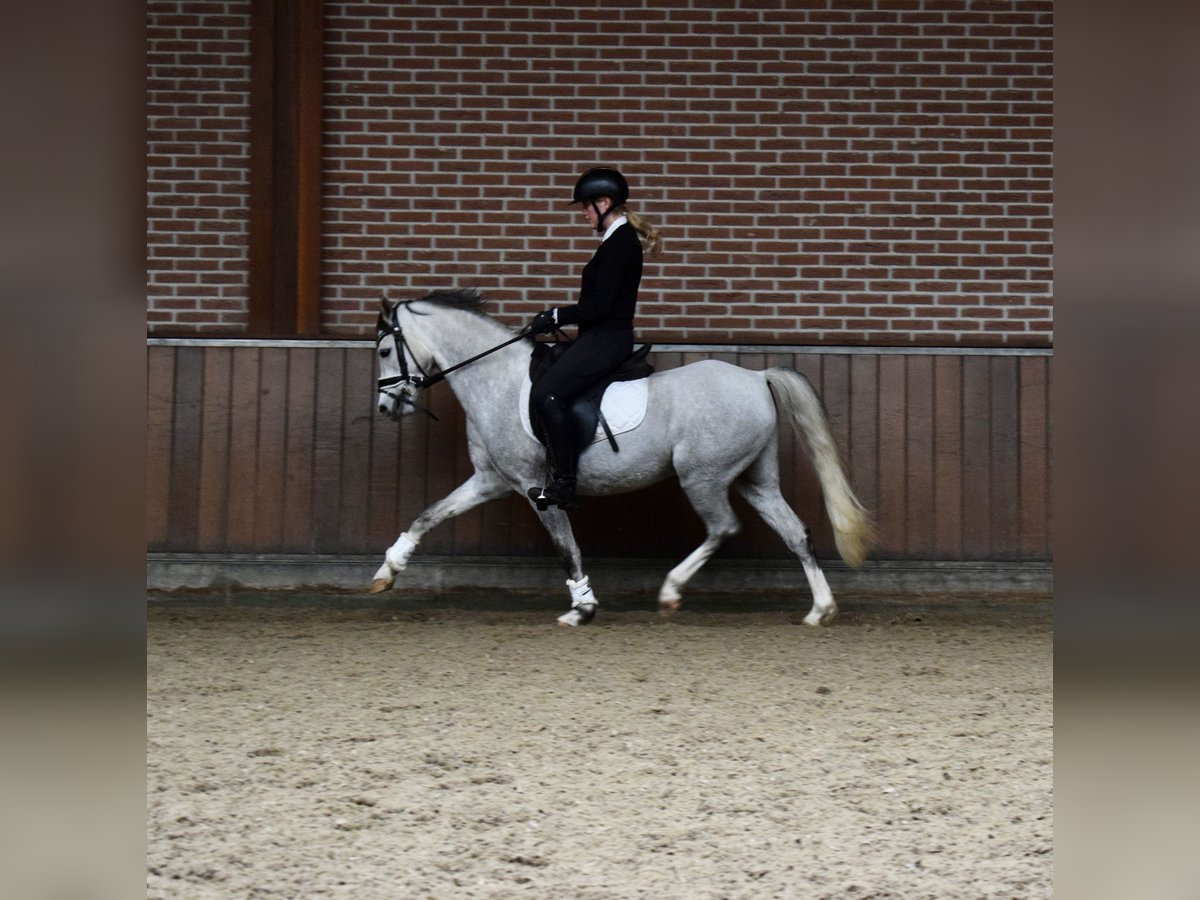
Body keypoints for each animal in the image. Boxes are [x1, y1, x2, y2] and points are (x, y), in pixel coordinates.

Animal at [371, 289, 873, 627]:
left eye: (384, 350)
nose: (386, 408)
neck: (497, 378)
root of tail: (756, 378)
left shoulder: (537, 488)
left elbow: (566, 547)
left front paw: (583, 607)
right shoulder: (492, 479)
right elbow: (429, 514)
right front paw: (387, 571)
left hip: (703, 477)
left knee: (724, 527)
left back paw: (670, 592)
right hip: (755, 479)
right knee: (795, 532)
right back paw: (820, 610)